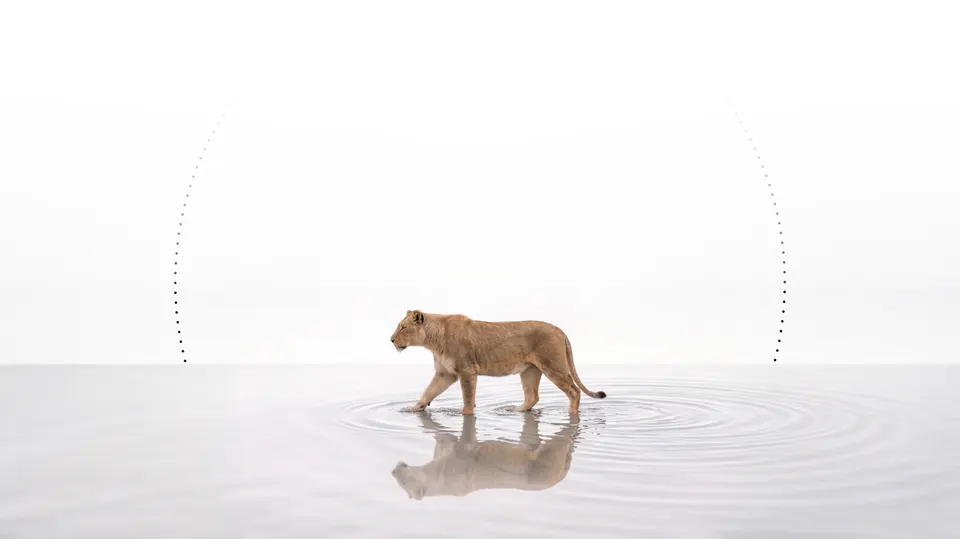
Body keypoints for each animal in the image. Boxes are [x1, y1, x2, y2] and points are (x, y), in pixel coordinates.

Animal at [390, 310, 607, 415]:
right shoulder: (446, 373)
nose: (391, 340)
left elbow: (468, 396)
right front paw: (414, 408)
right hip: (530, 370)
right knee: (532, 397)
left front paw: (465, 413)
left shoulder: (467, 370)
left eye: (402, 327)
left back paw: (571, 414)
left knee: (574, 390)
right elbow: (429, 391)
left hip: (552, 365)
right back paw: (515, 410)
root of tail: (559, 330)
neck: (432, 341)